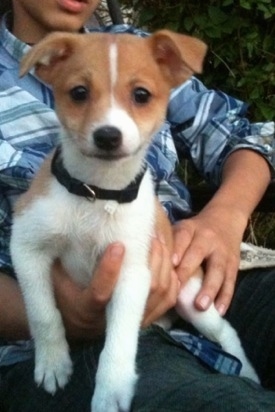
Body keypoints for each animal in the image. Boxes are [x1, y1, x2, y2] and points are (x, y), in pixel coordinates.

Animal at [11, 29, 258, 412]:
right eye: (78, 92)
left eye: (141, 95)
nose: (107, 136)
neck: (97, 193)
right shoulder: (26, 246)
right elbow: (43, 312)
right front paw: (53, 363)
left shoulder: (132, 272)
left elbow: (120, 338)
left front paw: (110, 389)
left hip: (191, 295)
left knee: (224, 332)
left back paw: (246, 370)